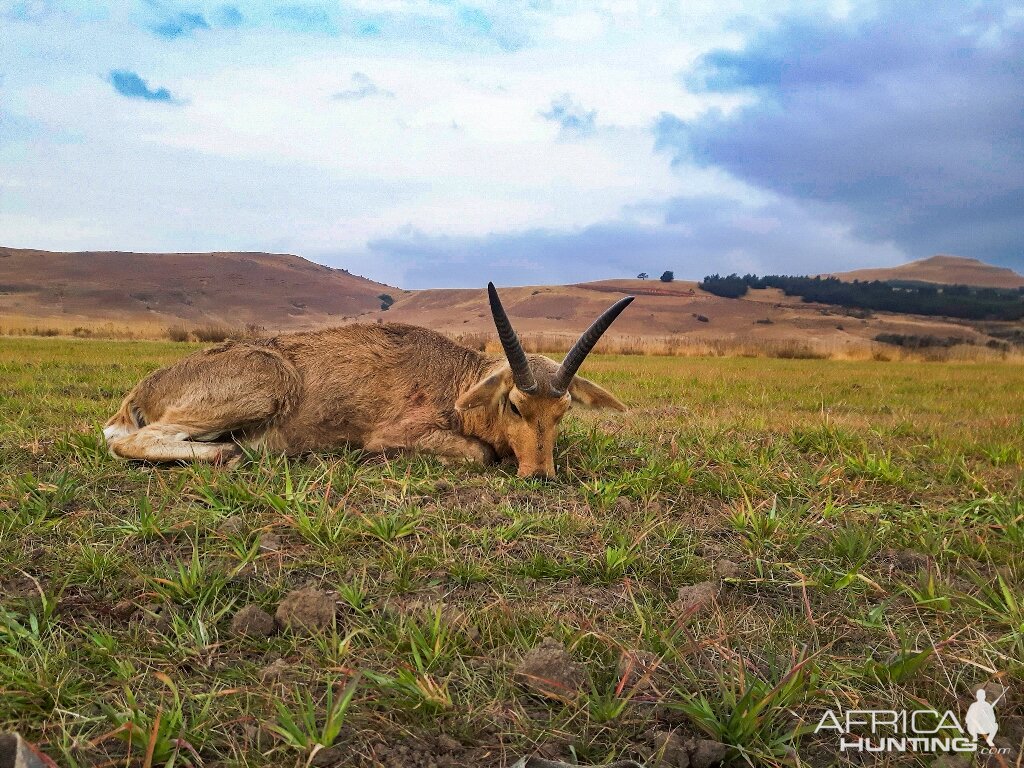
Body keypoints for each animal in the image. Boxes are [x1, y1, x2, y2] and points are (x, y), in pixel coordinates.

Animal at [103, 286, 630, 479]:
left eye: (562, 412)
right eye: (516, 405)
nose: (539, 475)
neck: (456, 382)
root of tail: (143, 390)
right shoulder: (393, 436)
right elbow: (480, 454)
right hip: (265, 388)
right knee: (131, 442)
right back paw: (229, 452)